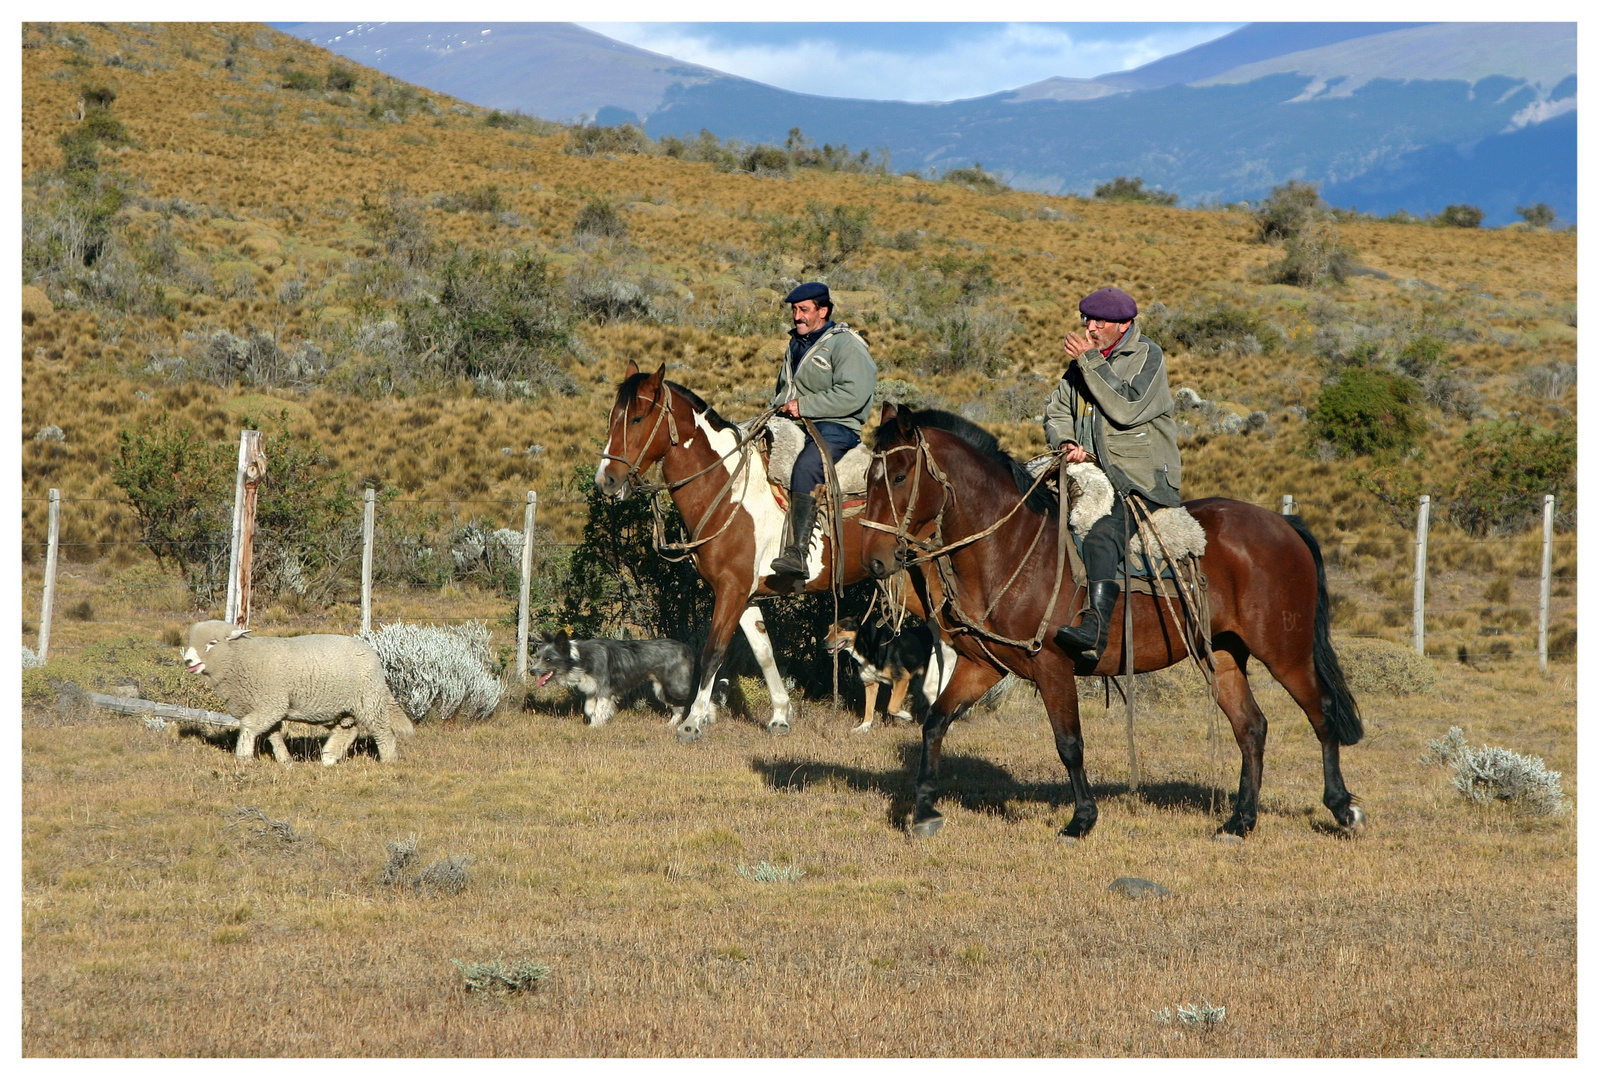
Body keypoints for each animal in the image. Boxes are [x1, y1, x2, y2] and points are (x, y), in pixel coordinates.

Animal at [183, 620, 415, 764]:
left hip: (368, 698)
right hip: (338, 707)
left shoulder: (271, 703)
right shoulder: (265, 706)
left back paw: (388, 760)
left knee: (382, 730)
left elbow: (249, 727)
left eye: (212, 643)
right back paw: (329, 758)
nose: (188, 661)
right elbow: (273, 734)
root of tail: (372, 653)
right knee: (348, 730)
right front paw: (285, 760)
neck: (243, 658)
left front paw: (243, 757)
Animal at [530, 630, 700, 729]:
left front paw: (595, 727)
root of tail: (687, 648)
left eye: (548, 659)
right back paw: (671, 725)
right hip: (662, 688)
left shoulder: (604, 690)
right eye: (538, 657)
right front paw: (600, 721)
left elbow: (598, 710)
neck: (581, 659)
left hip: (676, 686)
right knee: (678, 708)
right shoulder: (592, 691)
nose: (531, 671)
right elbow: (590, 709)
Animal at [598, 363, 946, 742]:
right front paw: (780, 715)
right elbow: (764, 653)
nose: (606, 480)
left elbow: (713, 652)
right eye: (613, 416)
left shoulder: (731, 590)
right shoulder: (745, 594)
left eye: (638, 418)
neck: (728, 491)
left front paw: (692, 721)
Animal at [863, 401, 1362, 838]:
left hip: (1284, 651)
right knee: (1251, 728)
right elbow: (934, 724)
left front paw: (1082, 819)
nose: (874, 561)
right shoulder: (982, 666)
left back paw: (1342, 807)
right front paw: (924, 810)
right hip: (1220, 655)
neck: (1010, 547)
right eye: (868, 478)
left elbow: (1069, 744)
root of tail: (1283, 524)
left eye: (900, 476)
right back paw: (1241, 822)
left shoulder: (1052, 667)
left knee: (1322, 713)